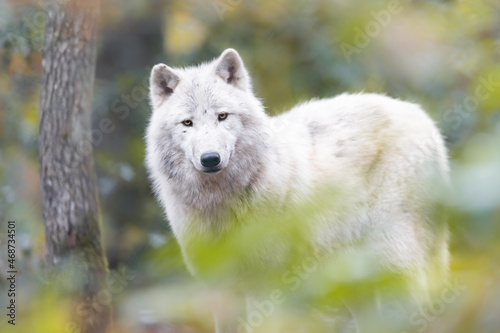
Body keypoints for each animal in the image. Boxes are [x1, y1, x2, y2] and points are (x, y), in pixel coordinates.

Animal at [146, 47, 450, 326]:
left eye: (222, 116)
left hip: (394, 262)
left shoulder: (268, 286)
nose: (210, 159)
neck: (222, 202)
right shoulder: (222, 290)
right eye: (187, 122)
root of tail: (422, 117)